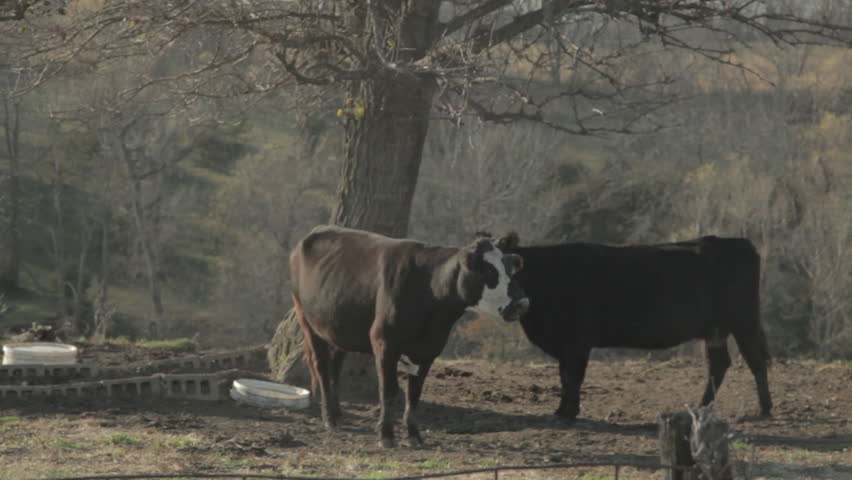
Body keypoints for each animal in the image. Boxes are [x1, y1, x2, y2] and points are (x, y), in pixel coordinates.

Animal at [289, 226, 529, 447]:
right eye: (488, 271)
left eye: (512, 268)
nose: (522, 303)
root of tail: (314, 232)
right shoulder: (384, 342)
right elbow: (389, 390)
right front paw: (386, 435)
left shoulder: (428, 349)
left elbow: (414, 394)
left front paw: (414, 435)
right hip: (307, 320)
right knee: (321, 366)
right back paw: (329, 417)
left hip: (339, 327)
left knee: (335, 365)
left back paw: (338, 414)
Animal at [495, 233, 772, 422]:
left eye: (508, 270)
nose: (512, 306)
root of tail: (737, 242)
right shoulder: (567, 345)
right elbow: (564, 376)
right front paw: (563, 410)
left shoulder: (577, 342)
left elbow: (572, 376)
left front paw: (568, 412)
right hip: (716, 329)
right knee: (719, 363)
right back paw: (701, 407)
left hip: (743, 321)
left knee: (755, 360)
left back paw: (765, 409)